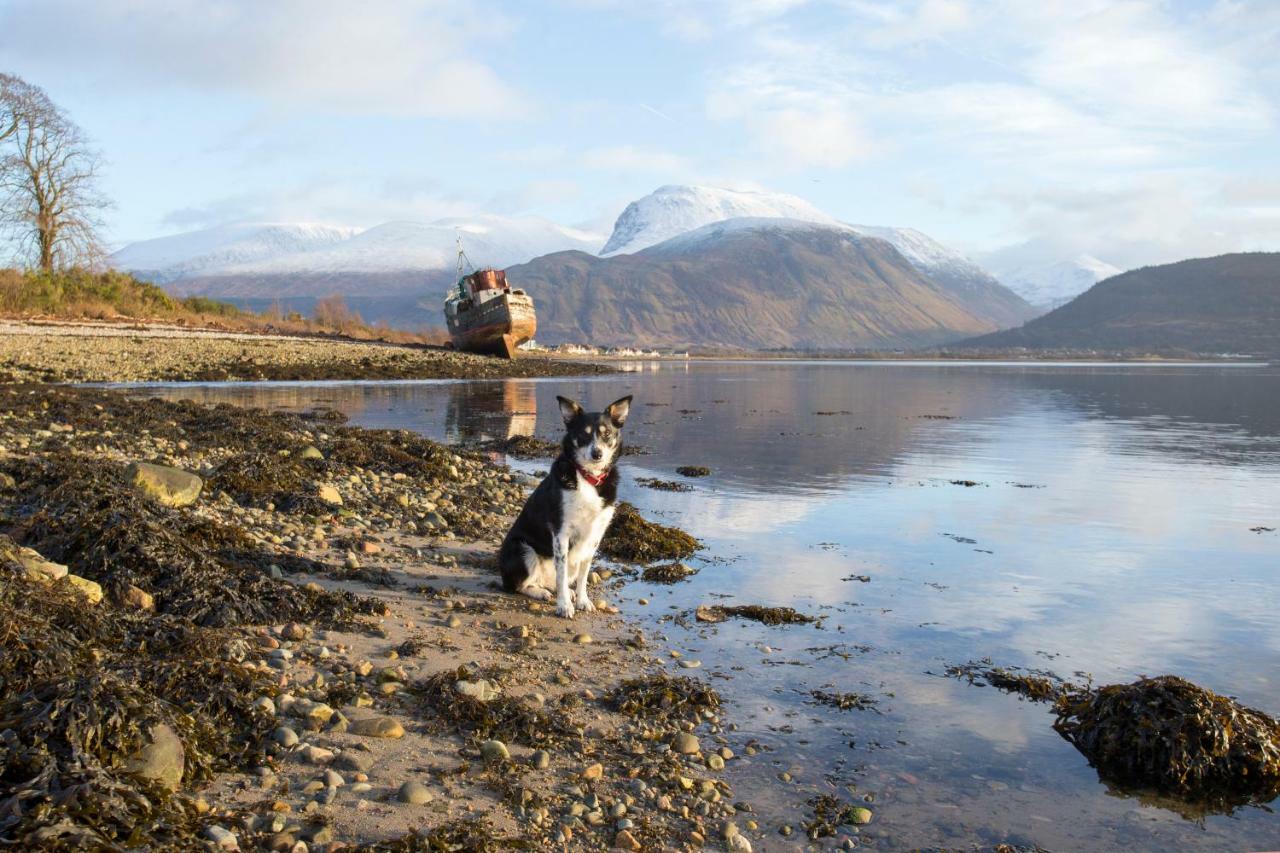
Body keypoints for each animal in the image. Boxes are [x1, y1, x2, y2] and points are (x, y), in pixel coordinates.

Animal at [496, 391, 632, 617]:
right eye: (584, 435)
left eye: (607, 434)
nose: (597, 454)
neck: (588, 478)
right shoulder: (561, 534)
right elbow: (561, 574)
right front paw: (564, 605)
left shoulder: (594, 537)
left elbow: (584, 575)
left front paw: (583, 600)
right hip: (523, 549)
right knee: (518, 586)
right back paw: (541, 592)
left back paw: (566, 591)